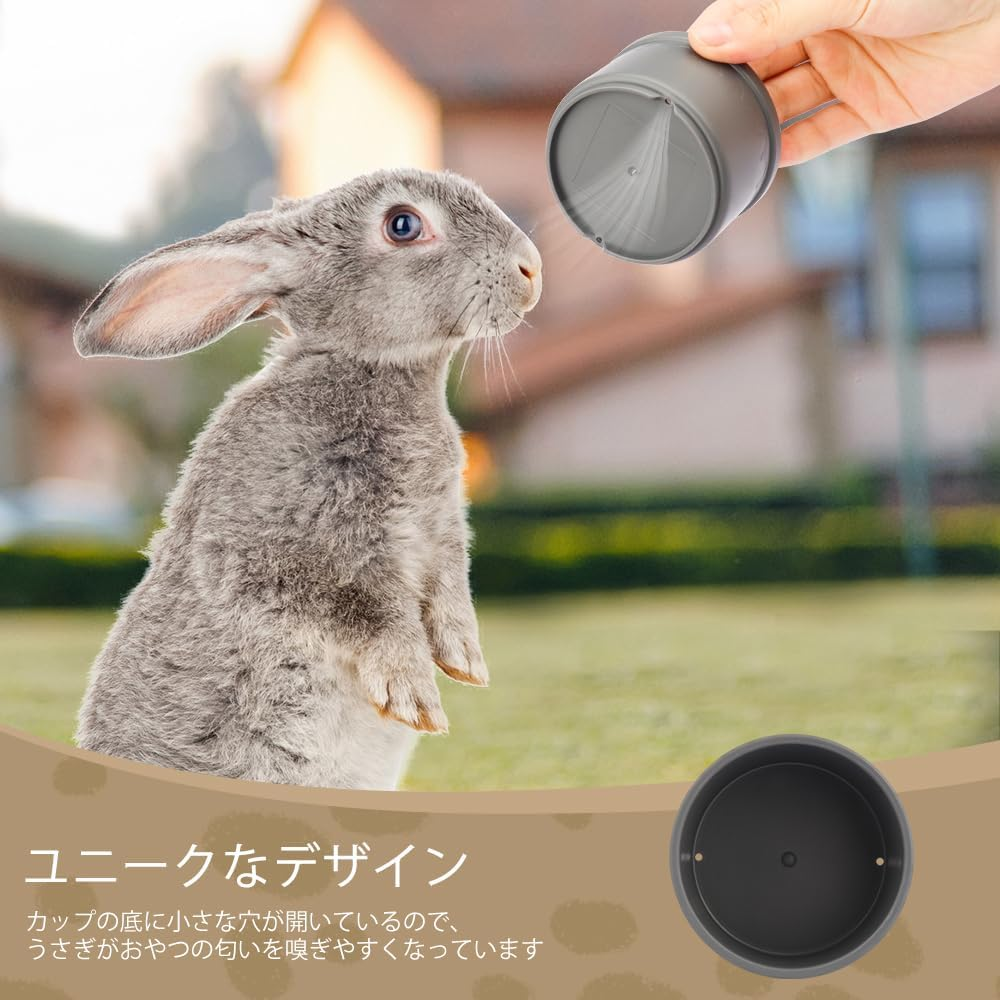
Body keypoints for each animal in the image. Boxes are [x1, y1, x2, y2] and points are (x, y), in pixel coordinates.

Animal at [72, 167, 542, 790]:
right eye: (403, 225)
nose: (531, 269)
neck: (370, 366)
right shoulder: (289, 557)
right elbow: (368, 612)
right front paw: (415, 696)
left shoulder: (441, 536)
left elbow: (449, 593)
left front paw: (466, 661)